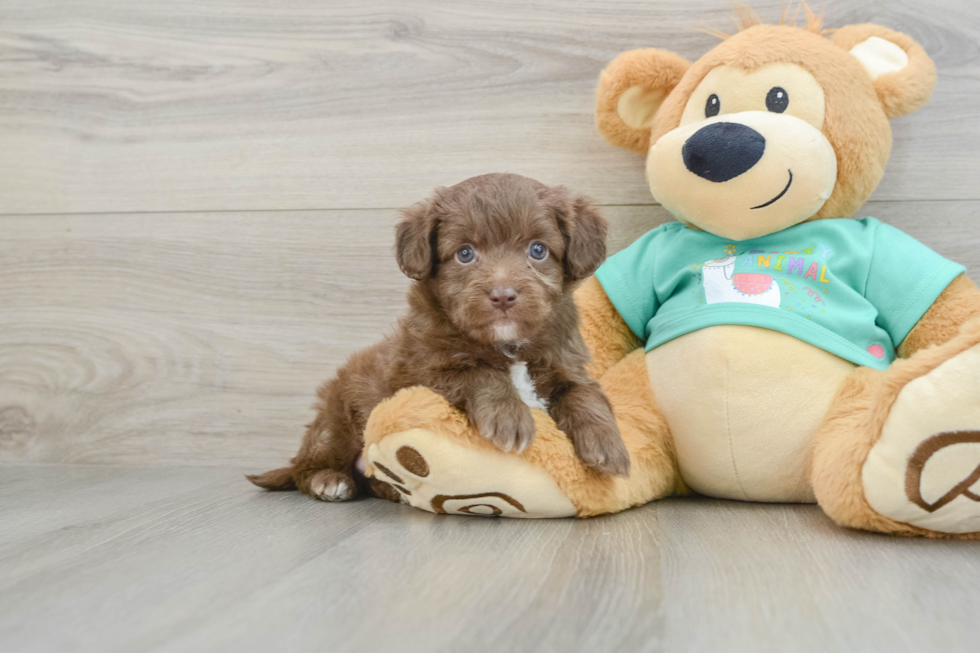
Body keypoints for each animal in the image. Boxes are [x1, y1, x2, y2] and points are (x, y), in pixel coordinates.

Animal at [245, 171, 628, 502]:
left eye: (538, 250)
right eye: (465, 253)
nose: (503, 295)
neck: (507, 344)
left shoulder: (566, 363)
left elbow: (585, 394)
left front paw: (608, 444)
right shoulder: (420, 374)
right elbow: (477, 372)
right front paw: (509, 416)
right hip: (336, 417)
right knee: (306, 464)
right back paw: (328, 480)